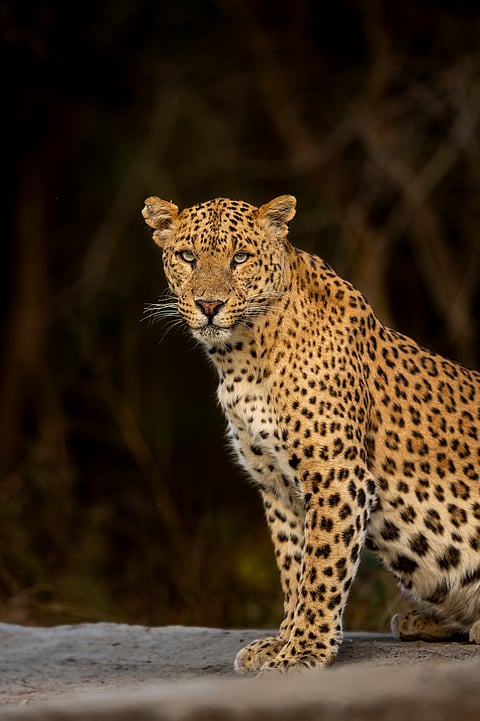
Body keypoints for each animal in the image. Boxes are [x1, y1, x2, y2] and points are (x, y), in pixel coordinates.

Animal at [142, 193, 480, 673]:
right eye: (188, 257)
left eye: (239, 258)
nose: (209, 304)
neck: (240, 358)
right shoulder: (279, 488)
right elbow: (293, 567)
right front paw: (282, 640)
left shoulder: (337, 477)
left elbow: (321, 568)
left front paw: (304, 650)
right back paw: (420, 620)